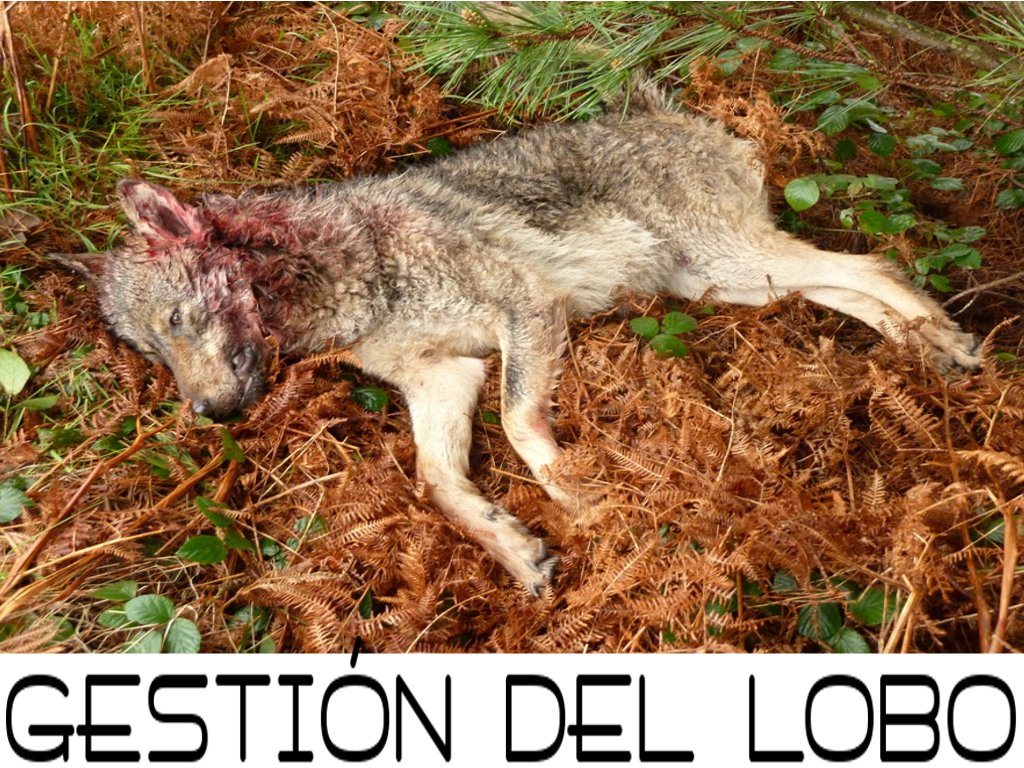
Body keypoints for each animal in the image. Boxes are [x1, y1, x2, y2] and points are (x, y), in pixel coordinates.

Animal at [53, 88, 981, 595]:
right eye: (152, 357)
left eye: (177, 323)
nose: (208, 414)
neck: (343, 282)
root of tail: (676, 113)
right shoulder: (446, 377)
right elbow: (437, 483)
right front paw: (514, 548)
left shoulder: (525, 312)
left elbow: (523, 431)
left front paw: (588, 503)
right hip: (724, 283)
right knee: (847, 286)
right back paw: (929, 349)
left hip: (731, 265)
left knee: (871, 260)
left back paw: (949, 344)